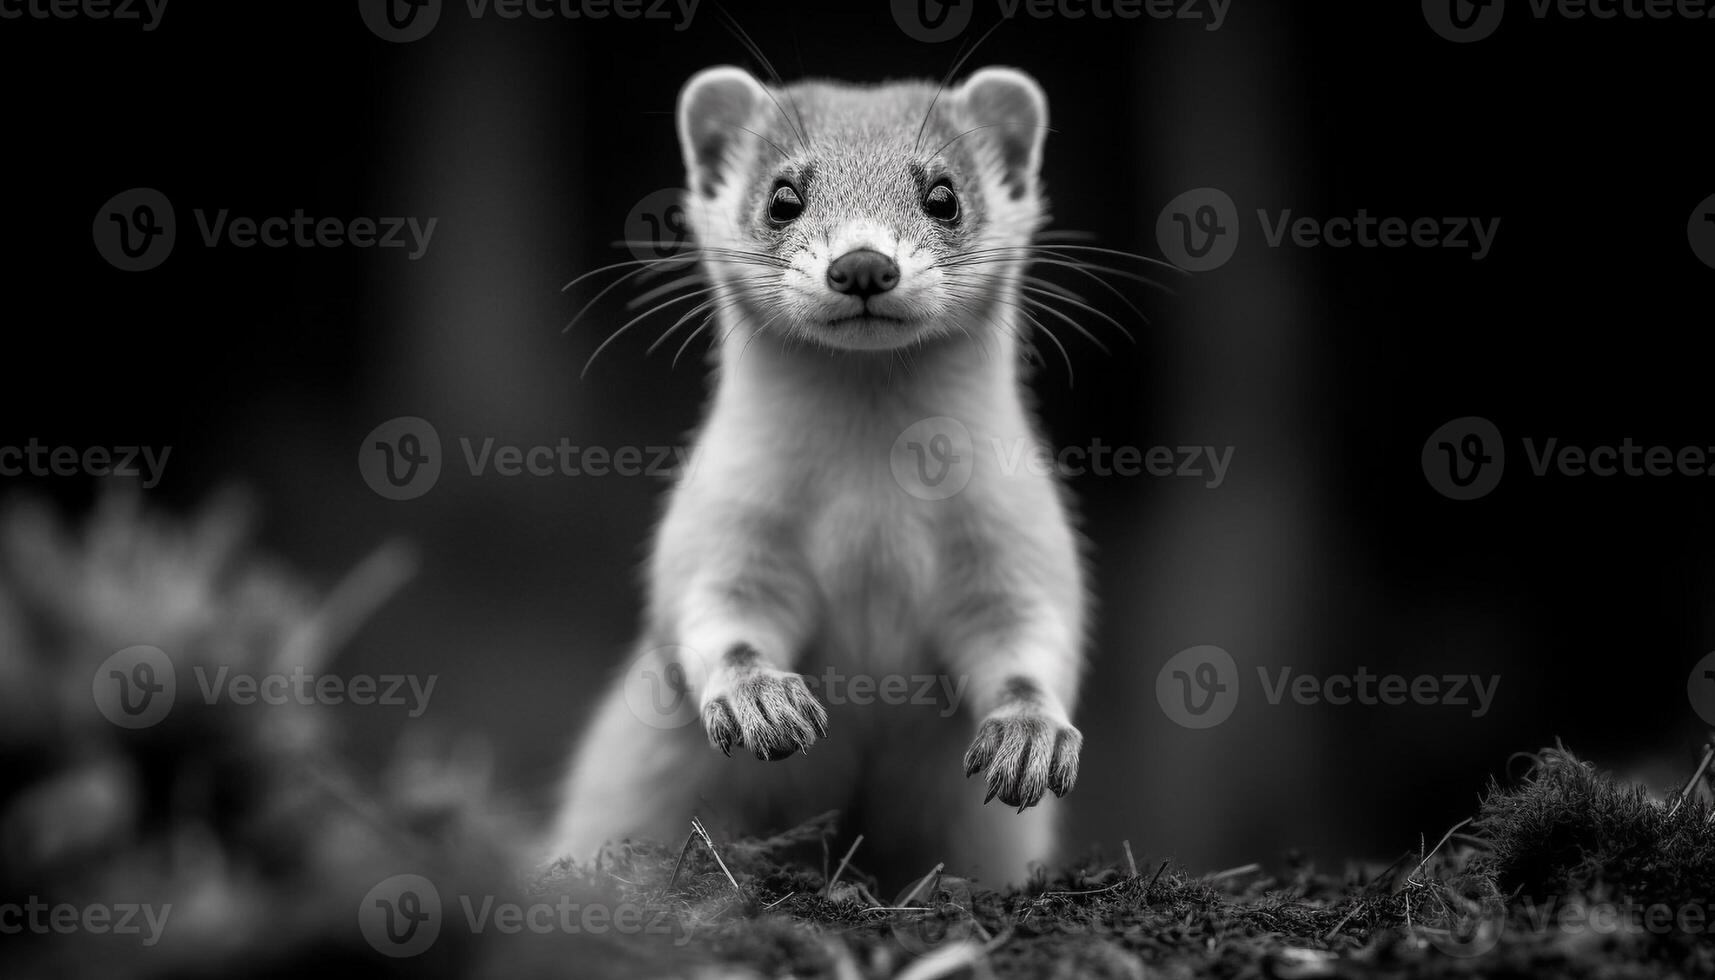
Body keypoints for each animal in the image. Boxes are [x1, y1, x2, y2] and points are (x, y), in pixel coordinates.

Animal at [548, 65, 1083, 885]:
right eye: (782, 196)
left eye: (944, 194)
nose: (862, 262)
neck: (873, 515)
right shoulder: (722, 519)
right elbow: (714, 616)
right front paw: (761, 700)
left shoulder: (1018, 533)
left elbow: (1034, 641)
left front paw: (1030, 737)